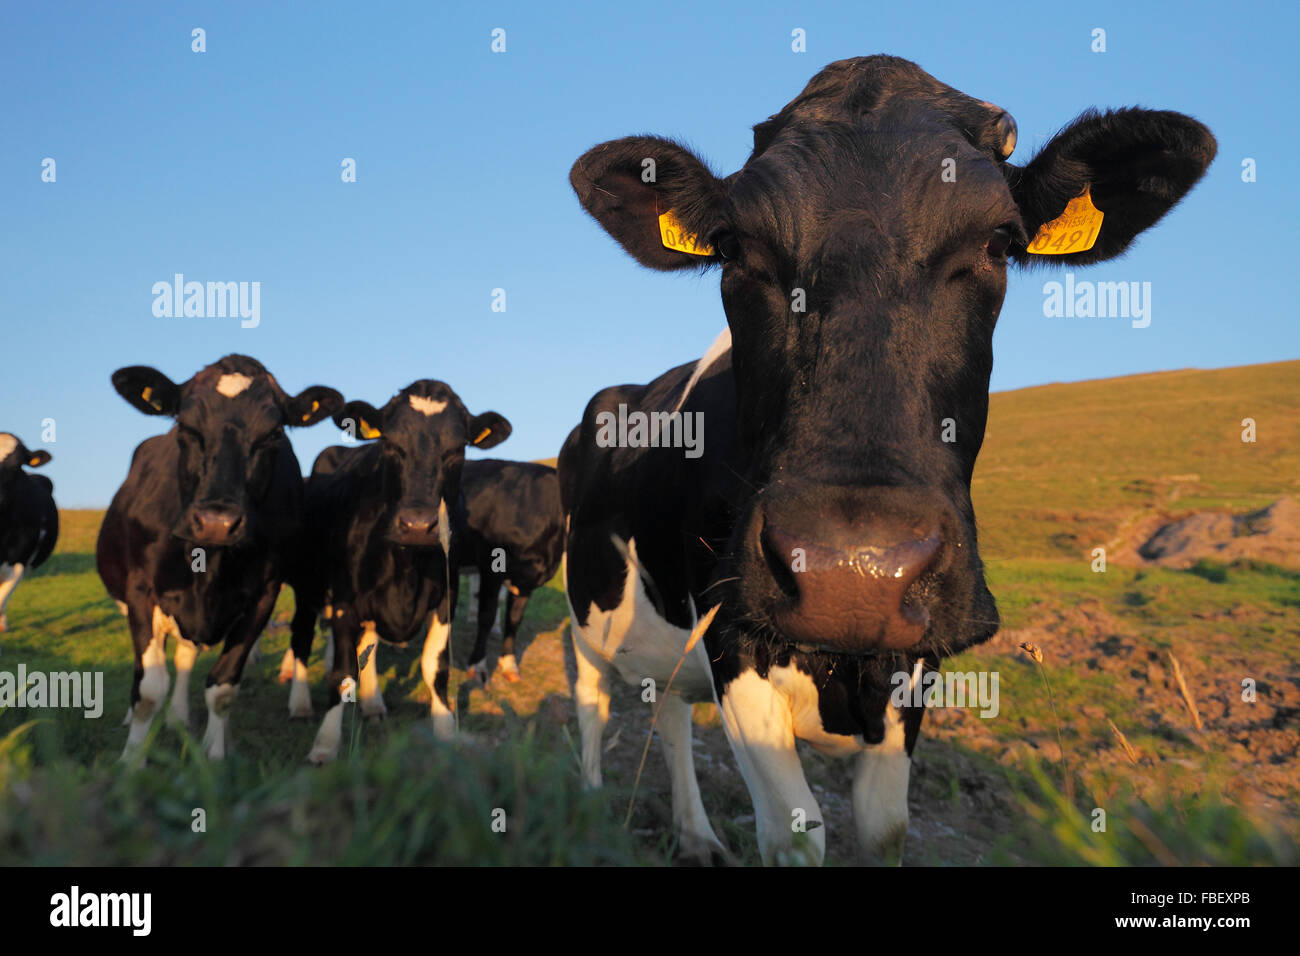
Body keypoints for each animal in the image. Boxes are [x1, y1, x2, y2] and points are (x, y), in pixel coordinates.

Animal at [96, 355, 343, 761]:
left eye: (274, 435)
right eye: (185, 424)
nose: (217, 522)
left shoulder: (264, 593)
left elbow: (223, 686)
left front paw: (214, 754)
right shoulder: (141, 591)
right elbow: (148, 688)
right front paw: (131, 761)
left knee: (184, 657)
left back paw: (180, 717)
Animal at [281, 380, 510, 764]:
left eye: (457, 449)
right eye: (389, 443)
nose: (418, 524)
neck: (407, 570)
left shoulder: (447, 597)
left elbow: (435, 668)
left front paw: (446, 731)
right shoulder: (343, 602)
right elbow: (342, 672)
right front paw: (325, 744)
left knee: (368, 645)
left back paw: (373, 703)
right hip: (305, 584)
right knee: (301, 636)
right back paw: (299, 704)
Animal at [456, 459, 564, 685]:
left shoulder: (527, 579)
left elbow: (514, 620)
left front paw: (508, 664)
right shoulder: (491, 571)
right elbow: (486, 617)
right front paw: (477, 664)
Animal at [559, 55, 1215, 864]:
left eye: (1000, 240)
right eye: (732, 246)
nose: (852, 575)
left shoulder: (914, 666)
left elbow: (884, 826)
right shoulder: (732, 638)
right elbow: (797, 833)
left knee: (669, 711)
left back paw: (696, 834)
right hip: (586, 605)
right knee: (591, 697)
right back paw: (590, 808)